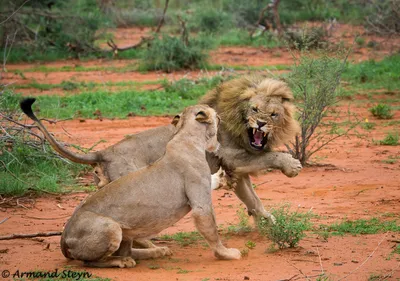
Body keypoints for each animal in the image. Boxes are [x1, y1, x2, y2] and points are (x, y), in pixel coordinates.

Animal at [18, 75, 300, 223]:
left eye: (273, 114)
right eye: (254, 109)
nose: (260, 123)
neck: (241, 128)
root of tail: (105, 152)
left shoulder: (234, 169)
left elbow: (253, 199)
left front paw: (268, 223)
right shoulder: (231, 156)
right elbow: (269, 157)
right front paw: (292, 165)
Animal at [60, 104, 241, 266]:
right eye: (217, 117)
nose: (220, 117)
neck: (185, 138)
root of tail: (63, 236)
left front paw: (222, 178)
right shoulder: (200, 205)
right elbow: (212, 230)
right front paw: (227, 254)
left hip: (126, 231)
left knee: (128, 250)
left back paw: (157, 251)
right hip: (111, 227)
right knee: (90, 261)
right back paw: (123, 261)